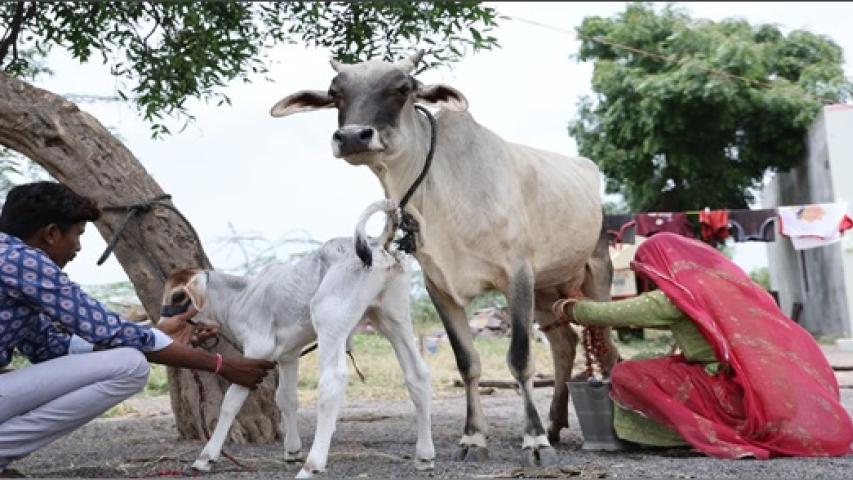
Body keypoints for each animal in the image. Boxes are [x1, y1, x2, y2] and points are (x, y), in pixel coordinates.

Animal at [270, 51, 618, 465]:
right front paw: (474, 437)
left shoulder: (517, 276)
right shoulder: (440, 287)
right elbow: (467, 362)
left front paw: (534, 441)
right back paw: (553, 424)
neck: (444, 194)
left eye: (403, 88)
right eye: (335, 93)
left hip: (596, 275)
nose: (354, 136)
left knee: (607, 345)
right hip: (548, 290)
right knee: (564, 345)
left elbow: (520, 359)